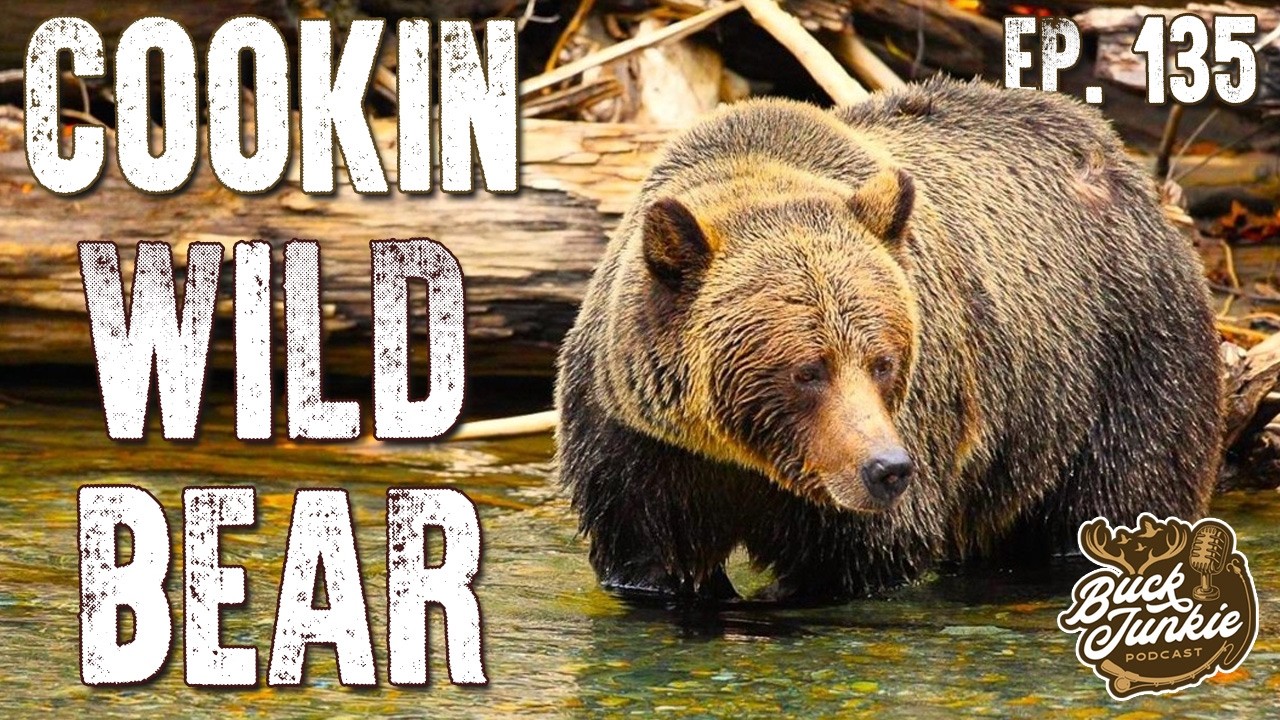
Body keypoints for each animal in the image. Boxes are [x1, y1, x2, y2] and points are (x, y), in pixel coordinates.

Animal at [554, 77, 1223, 602]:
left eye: (882, 362)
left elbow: (864, 555)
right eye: (809, 369)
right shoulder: (643, 446)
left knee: (1117, 498)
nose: (887, 468)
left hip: (1125, 364)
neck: (743, 456)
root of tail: (1120, 161)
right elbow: (650, 554)